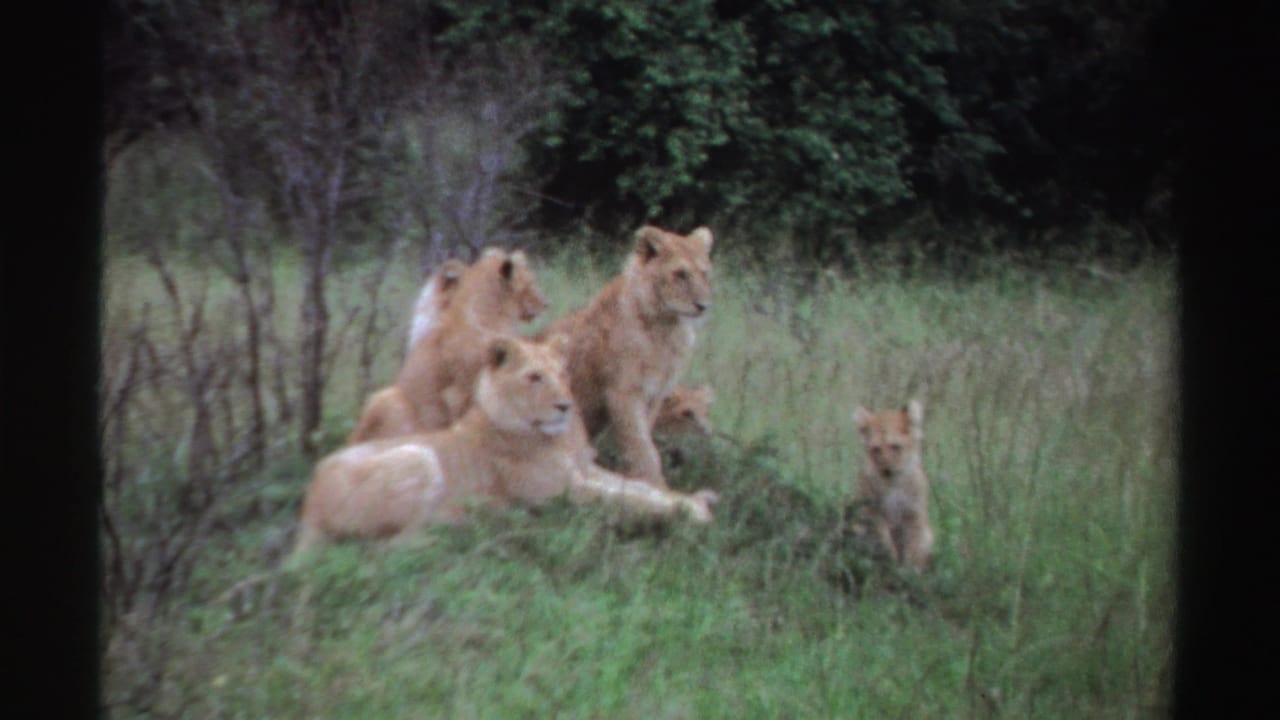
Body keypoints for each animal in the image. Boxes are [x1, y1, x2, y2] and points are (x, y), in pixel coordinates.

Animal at [292, 336, 719, 558]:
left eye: (563, 374)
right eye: (534, 377)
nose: (565, 405)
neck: (555, 437)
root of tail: (307, 506)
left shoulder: (585, 471)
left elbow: (639, 487)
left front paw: (696, 498)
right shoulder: (563, 493)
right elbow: (630, 501)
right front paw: (693, 512)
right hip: (419, 457)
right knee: (384, 547)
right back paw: (460, 530)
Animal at [541, 225, 713, 488]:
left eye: (704, 274)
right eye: (680, 274)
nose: (703, 306)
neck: (667, 328)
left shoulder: (655, 394)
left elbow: (643, 441)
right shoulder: (623, 393)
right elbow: (643, 448)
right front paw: (655, 486)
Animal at [850, 399, 934, 572]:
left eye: (896, 446)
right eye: (876, 449)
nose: (886, 470)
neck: (894, 482)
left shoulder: (913, 514)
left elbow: (913, 547)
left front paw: (908, 571)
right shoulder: (873, 512)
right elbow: (885, 540)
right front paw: (891, 561)